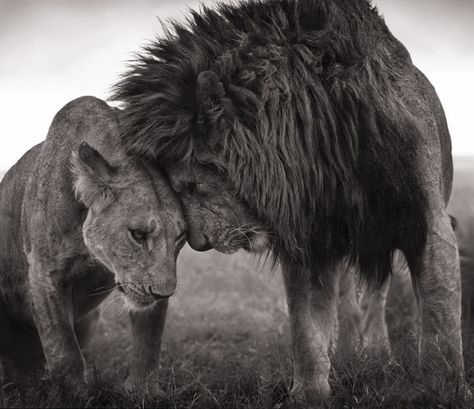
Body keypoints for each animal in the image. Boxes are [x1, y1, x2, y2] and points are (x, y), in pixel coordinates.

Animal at [0, 95, 187, 392]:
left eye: (180, 238)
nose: (164, 294)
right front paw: (74, 393)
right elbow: (64, 351)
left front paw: (142, 391)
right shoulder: (44, 273)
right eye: (137, 234)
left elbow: (149, 341)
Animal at [114, 0, 466, 402]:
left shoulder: (428, 223)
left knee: (377, 295)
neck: (325, 145)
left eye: (190, 186)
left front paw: (443, 391)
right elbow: (307, 329)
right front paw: (310, 393)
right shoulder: (308, 239)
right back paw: (348, 353)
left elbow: (439, 320)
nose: (199, 244)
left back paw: (378, 353)